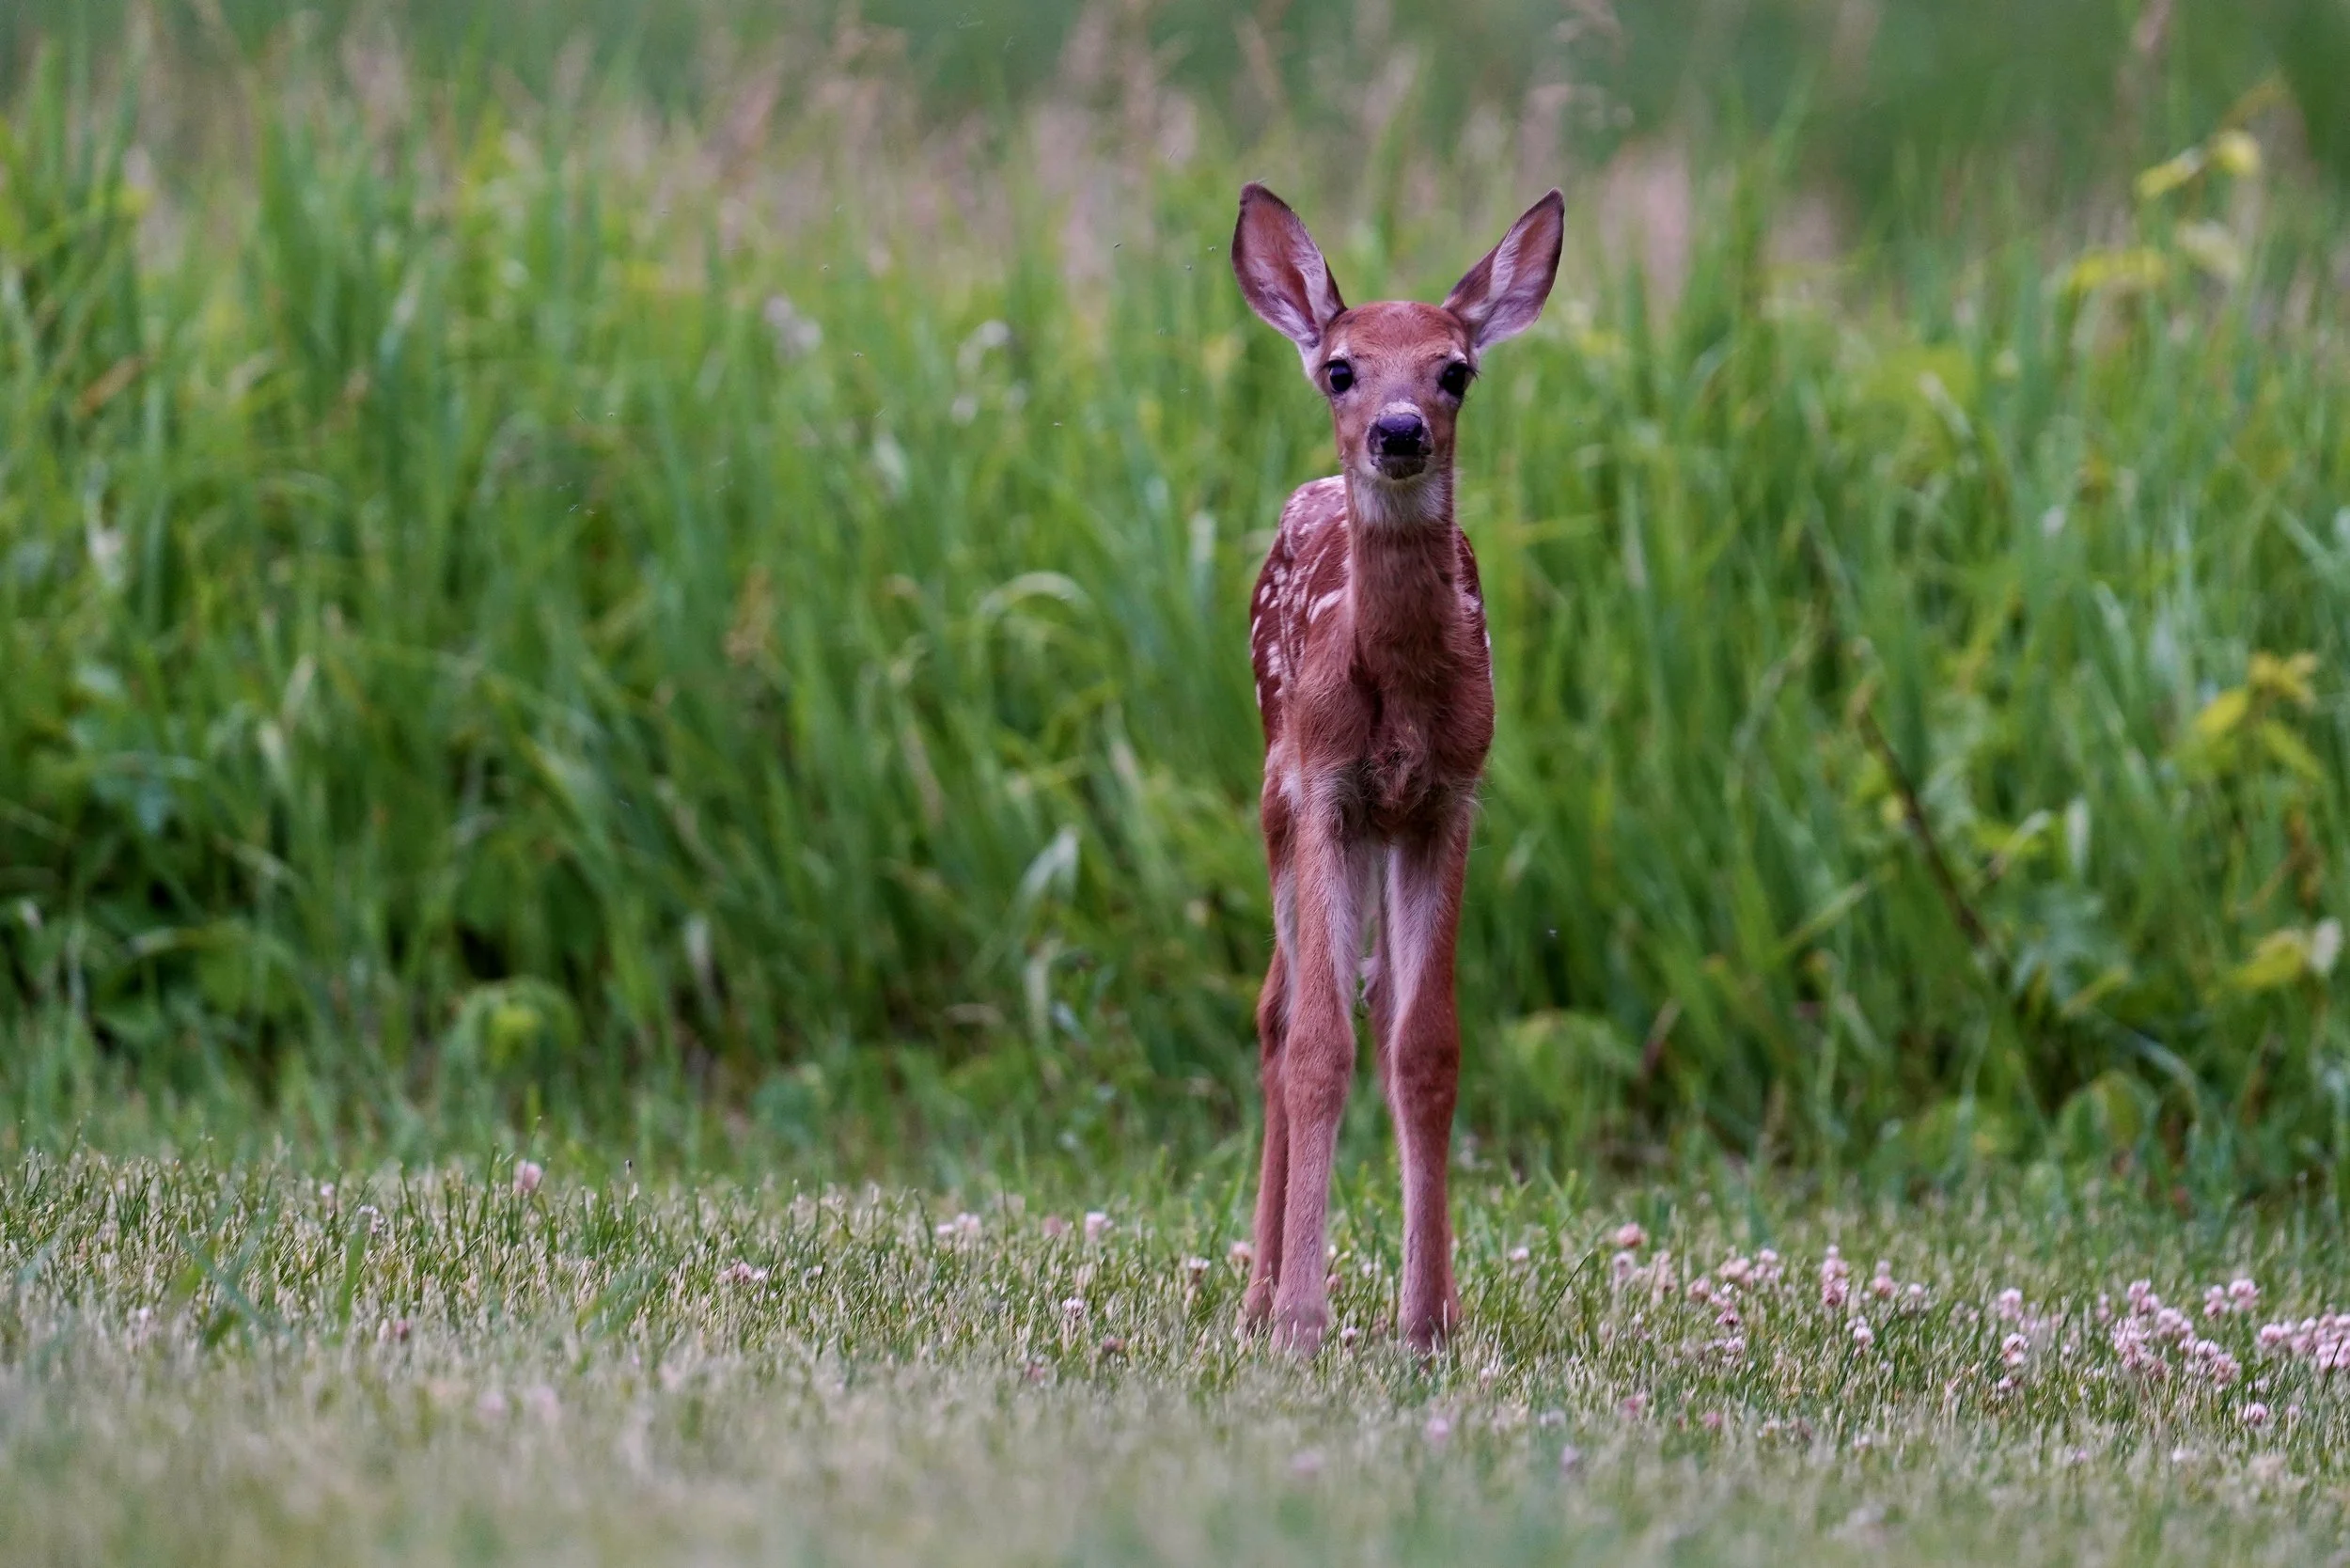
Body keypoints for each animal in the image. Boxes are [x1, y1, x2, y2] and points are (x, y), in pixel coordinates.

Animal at [1230, 182, 1563, 1355]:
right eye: (1342, 368)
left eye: (1453, 369)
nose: (1400, 429)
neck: (1401, 707)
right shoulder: (1326, 789)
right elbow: (1318, 1046)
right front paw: (1301, 1315)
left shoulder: (1447, 799)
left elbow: (1423, 1047)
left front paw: (1427, 1321)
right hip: (1278, 802)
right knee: (1278, 1009)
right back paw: (1254, 1296)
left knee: (1361, 1002)